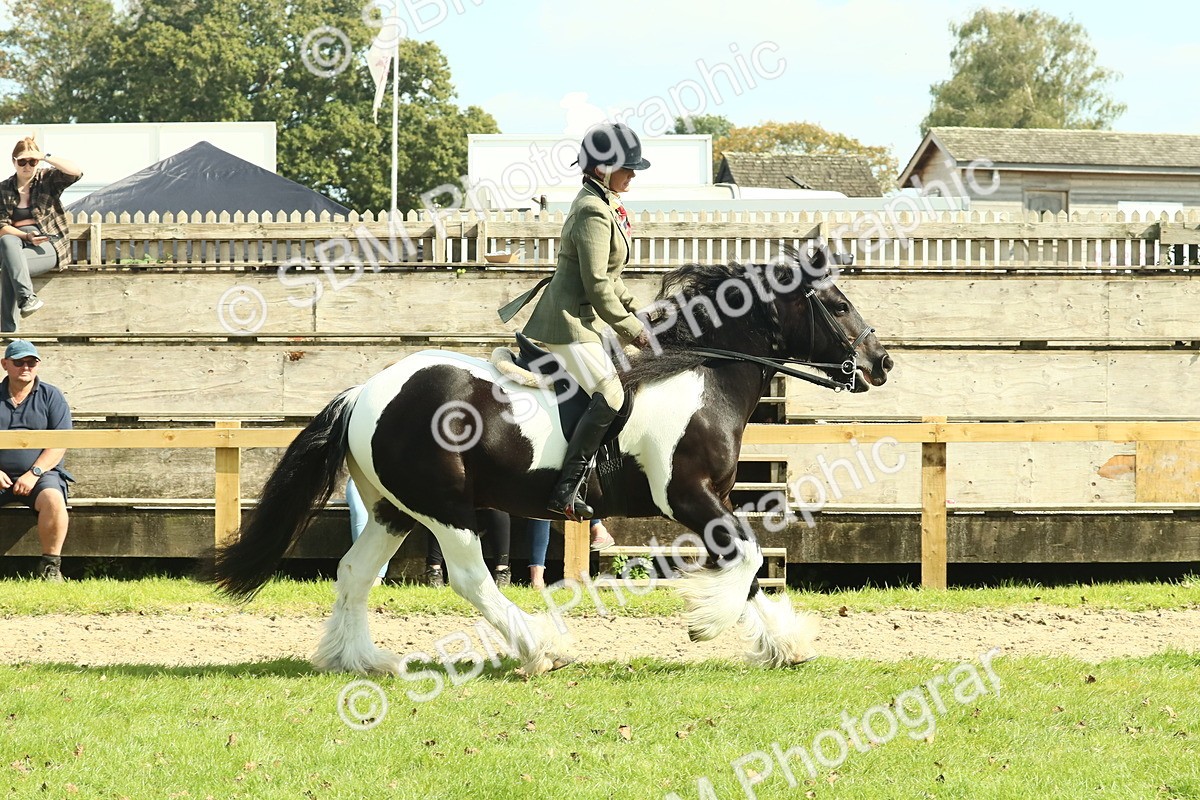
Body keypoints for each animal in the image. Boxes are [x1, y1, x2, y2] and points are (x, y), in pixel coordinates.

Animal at [211, 244, 892, 675]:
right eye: (836, 304)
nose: (882, 363)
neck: (703, 374)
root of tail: (364, 393)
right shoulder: (690, 497)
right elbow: (746, 560)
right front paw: (709, 624)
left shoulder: (716, 502)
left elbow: (747, 567)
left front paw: (784, 645)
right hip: (446, 508)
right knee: (470, 578)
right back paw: (541, 649)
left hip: (395, 510)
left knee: (354, 572)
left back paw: (358, 659)